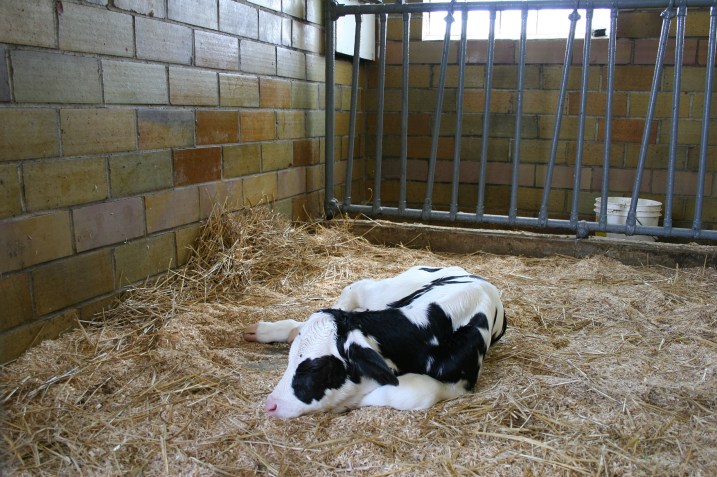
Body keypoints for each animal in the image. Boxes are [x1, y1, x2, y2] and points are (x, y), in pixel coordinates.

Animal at [243, 266, 506, 419]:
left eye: (316, 367)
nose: (271, 405)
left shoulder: (461, 382)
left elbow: (412, 392)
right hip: (389, 291)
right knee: (357, 287)